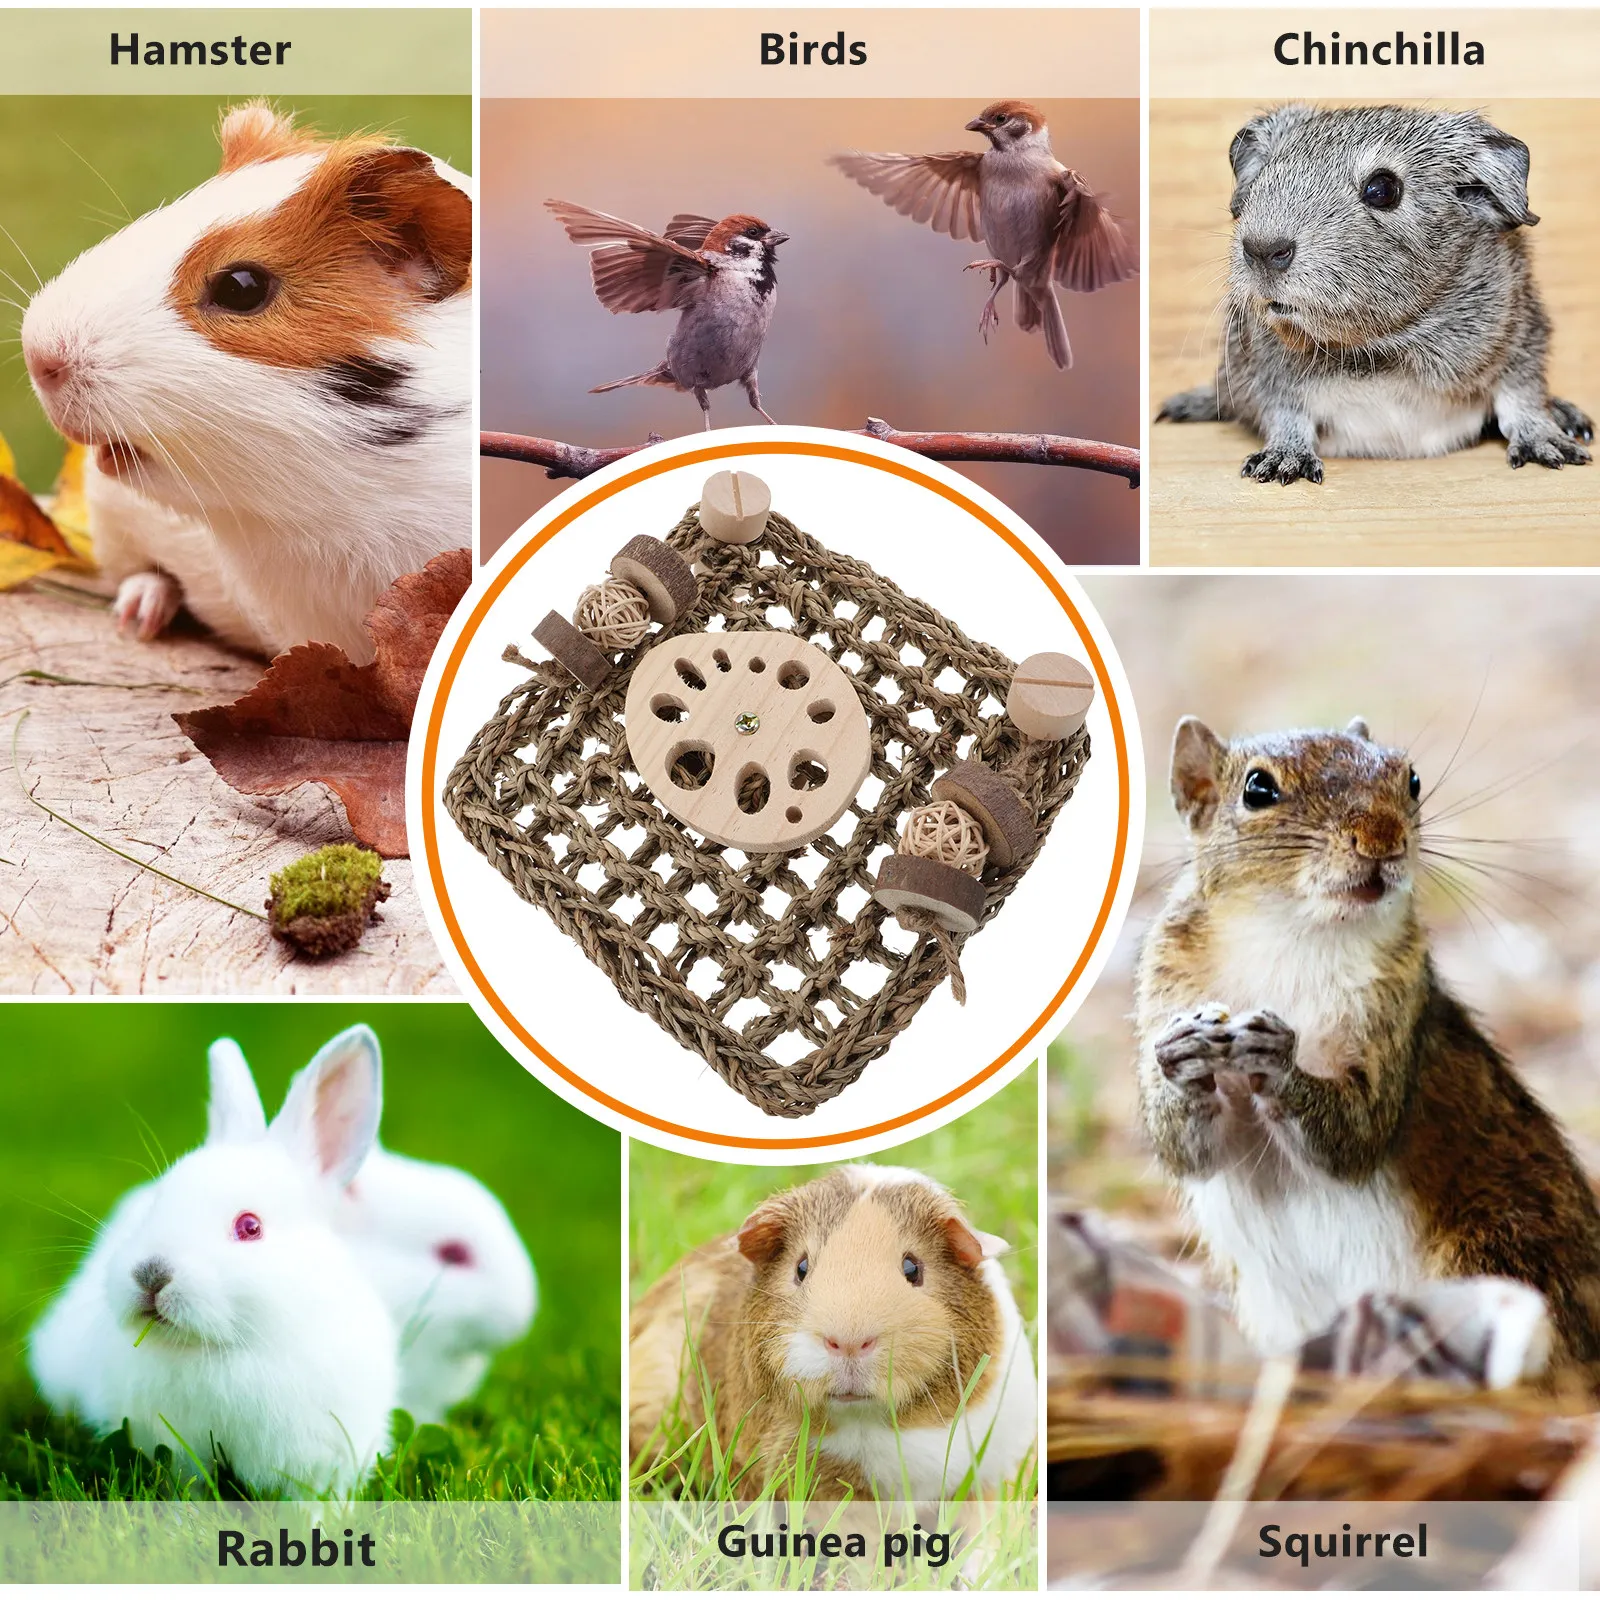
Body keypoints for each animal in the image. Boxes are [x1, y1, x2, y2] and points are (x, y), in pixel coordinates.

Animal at [27, 1028, 397, 1498]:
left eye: (250, 1226)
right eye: (157, 1202)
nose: (152, 1274)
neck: (225, 1349)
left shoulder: (322, 1461)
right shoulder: (177, 1452)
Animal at [1157, 103, 1593, 485]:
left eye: (1383, 188)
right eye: (1264, 174)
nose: (1262, 249)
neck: (1380, 349)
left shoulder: (1521, 336)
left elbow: (1521, 398)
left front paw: (1552, 448)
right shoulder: (1266, 373)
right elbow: (1286, 413)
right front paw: (1281, 463)